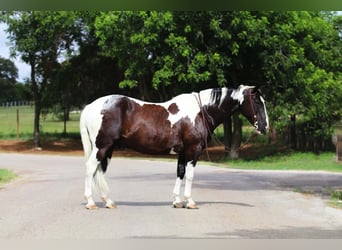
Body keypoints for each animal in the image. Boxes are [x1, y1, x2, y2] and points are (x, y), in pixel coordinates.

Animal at [81, 85, 270, 209]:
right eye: (257, 101)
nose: (264, 127)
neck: (201, 112)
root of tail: (91, 106)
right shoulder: (193, 151)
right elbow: (190, 176)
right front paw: (190, 202)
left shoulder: (183, 152)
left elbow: (180, 173)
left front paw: (177, 201)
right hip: (101, 147)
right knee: (90, 168)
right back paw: (90, 202)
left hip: (108, 148)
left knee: (99, 171)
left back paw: (108, 201)